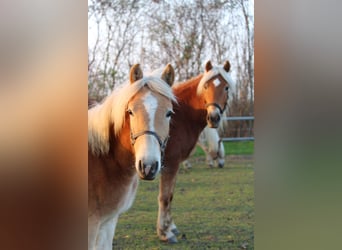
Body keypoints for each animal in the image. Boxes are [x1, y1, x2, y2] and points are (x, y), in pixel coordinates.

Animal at [157, 59, 235, 241]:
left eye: (226, 87)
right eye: (206, 86)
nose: (213, 117)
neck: (178, 116)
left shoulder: (174, 164)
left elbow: (171, 195)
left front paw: (171, 227)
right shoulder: (170, 163)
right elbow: (165, 197)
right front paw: (164, 232)